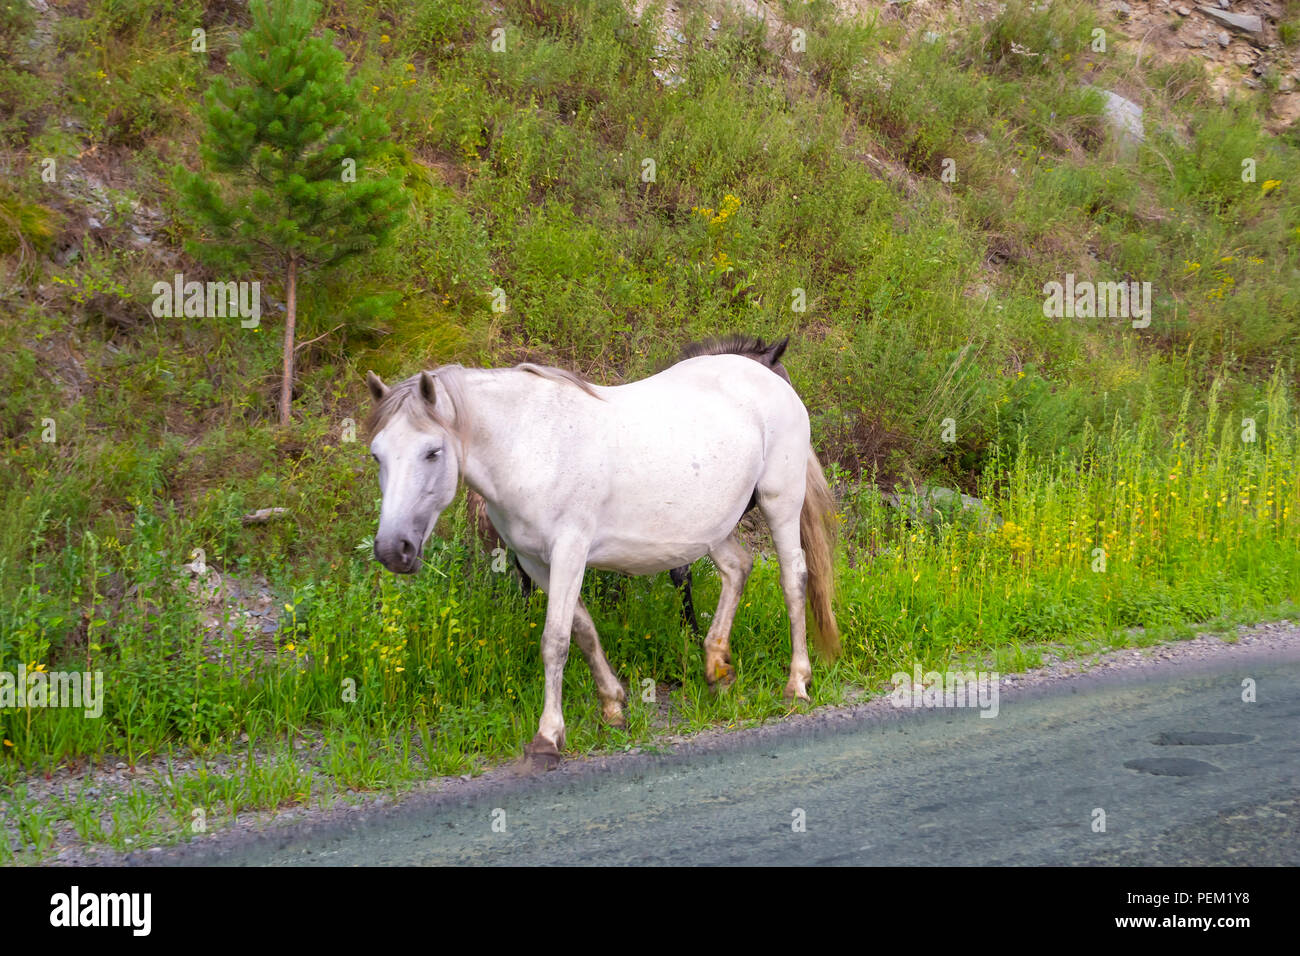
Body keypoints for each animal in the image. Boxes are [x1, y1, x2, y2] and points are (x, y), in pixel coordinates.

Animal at [364, 351, 842, 770]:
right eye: (377, 454)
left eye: (432, 452)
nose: (392, 550)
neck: (531, 446)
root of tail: (774, 380)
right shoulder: (536, 562)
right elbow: (583, 630)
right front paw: (613, 706)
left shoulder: (569, 551)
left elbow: (555, 641)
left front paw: (547, 738)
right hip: (711, 527)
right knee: (736, 569)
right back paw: (716, 667)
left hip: (780, 503)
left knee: (793, 581)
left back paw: (797, 683)